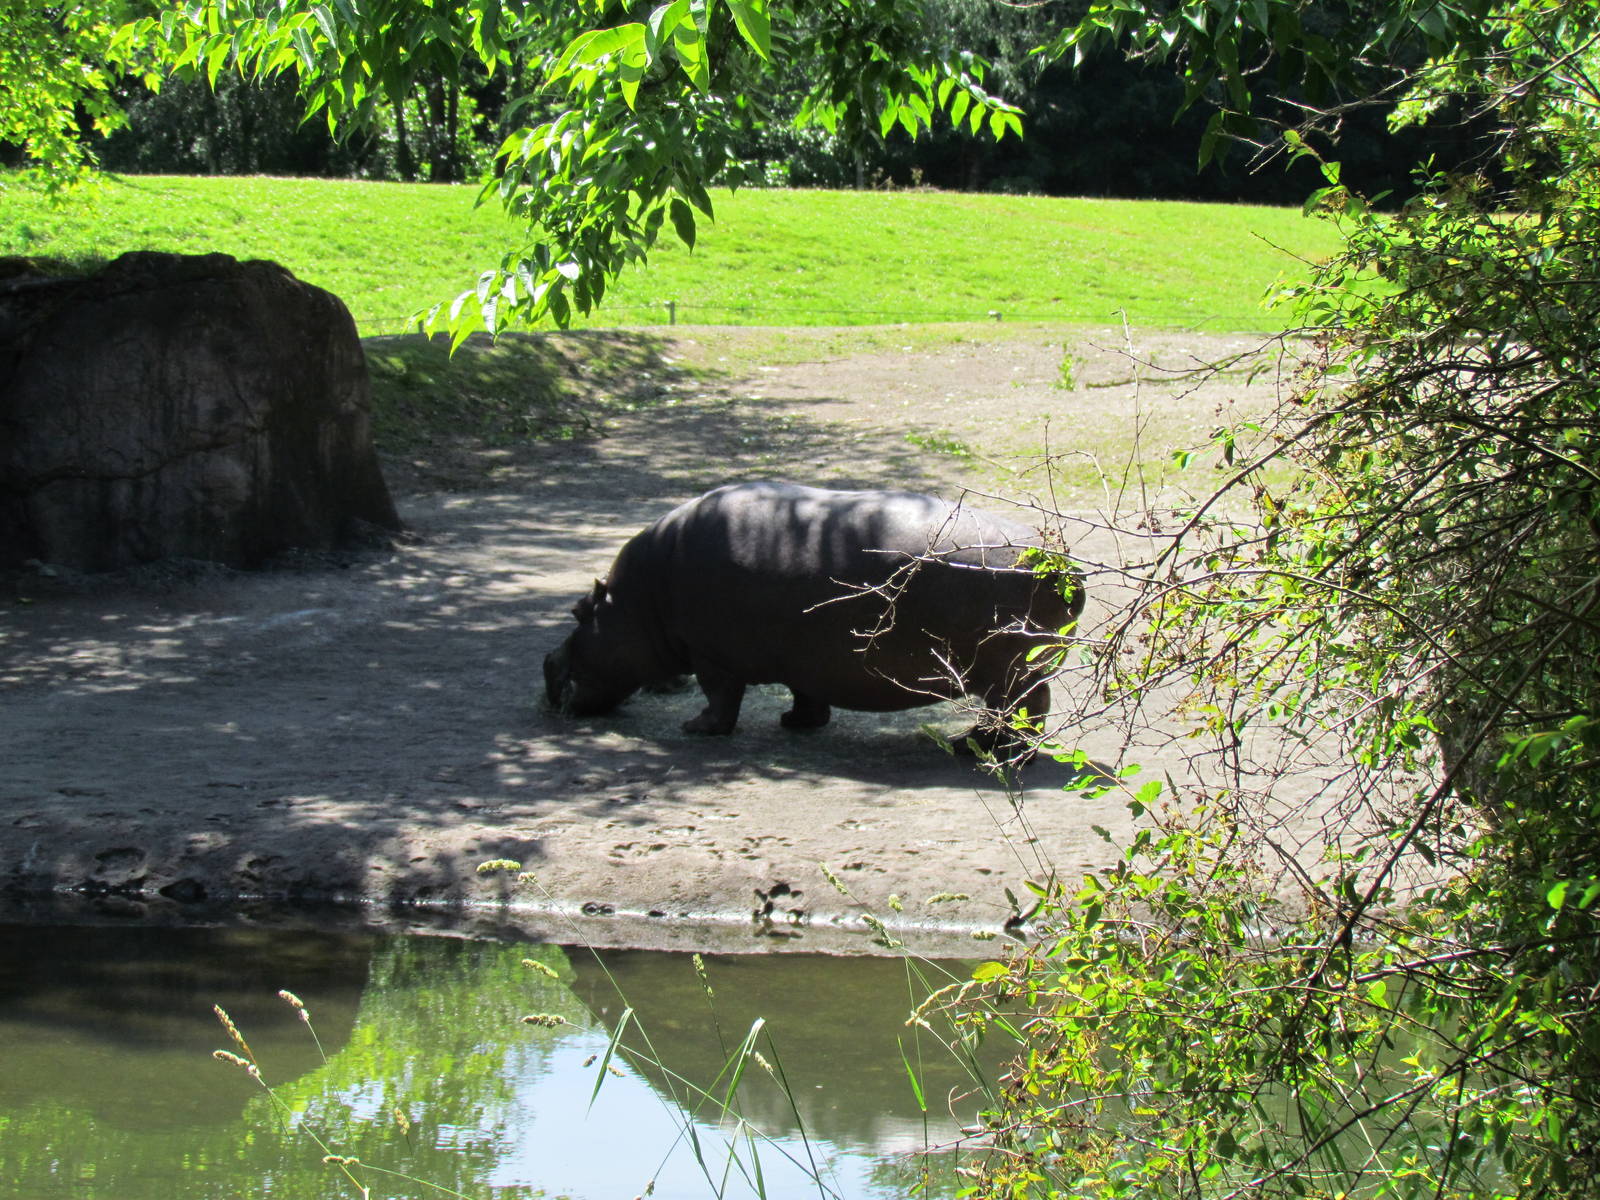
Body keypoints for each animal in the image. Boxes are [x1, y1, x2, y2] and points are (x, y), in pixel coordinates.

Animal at [544, 482, 1083, 754]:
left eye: (577, 611)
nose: (547, 664)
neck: (637, 602)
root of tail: (1068, 567)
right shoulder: (806, 657)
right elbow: (805, 695)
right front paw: (796, 722)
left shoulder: (711, 655)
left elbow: (720, 698)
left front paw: (695, 728)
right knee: (1029, 707)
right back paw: (979, 741)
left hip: (1007, 671)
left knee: (1025, 708)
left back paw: (983, 745)